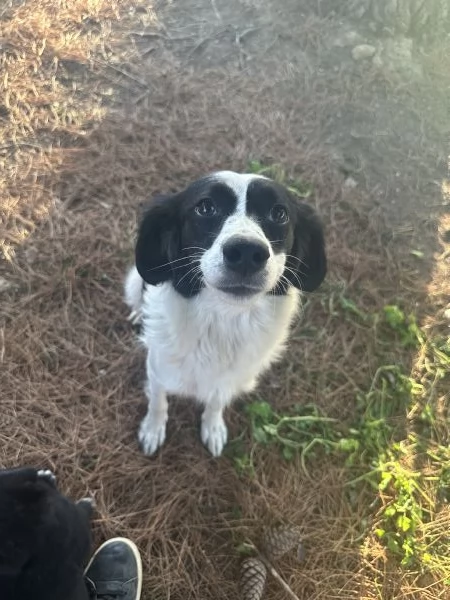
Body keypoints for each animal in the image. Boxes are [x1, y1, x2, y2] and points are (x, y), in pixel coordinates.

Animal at [125, 171, 326, 458]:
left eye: (279, 214)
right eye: (205, 207)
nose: (246, 253)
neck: (224, 322)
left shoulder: (229, 379)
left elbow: (216, 401)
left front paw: (213, 427)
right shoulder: (157, 370)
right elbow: (158, 402)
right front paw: (152, 430)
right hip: (133, 281)